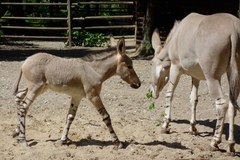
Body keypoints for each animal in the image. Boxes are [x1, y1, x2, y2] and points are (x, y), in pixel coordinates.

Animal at [13, 38, 141, 148]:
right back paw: (23, 140)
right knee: (23, 107)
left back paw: (16, 132)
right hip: (35, 88)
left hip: (39, 88)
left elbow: (70, 117)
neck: (95, 71)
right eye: (129, 66)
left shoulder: (77, 97)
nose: (139, 84)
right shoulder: (93, 96)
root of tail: (25, 61)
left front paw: (63, 140)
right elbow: (106, 117)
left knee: (18, 97)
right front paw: (118, 142)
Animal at [150, 12, 240, 152]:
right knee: (232, 104)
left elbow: (169, 94)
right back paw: (231, 144)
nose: (151, 92)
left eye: (151, 63)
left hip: (212, 78)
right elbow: (193, 99)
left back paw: (215, 142)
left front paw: (165, 125)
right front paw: (193, 128)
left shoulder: (175, 68)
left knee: (222, 104)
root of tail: (233, 29)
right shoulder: (196, 76)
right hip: (234, 74)